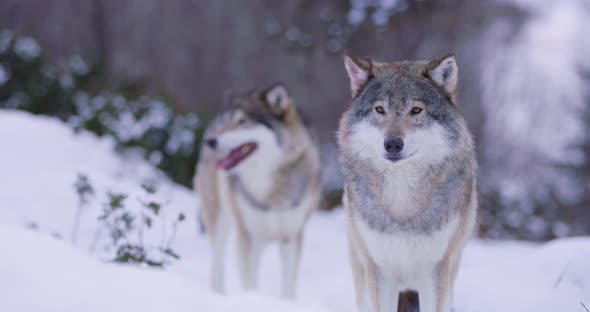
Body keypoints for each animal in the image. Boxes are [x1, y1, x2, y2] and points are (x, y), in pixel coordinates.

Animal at [194, 83, 324, 300]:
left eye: (242, 121)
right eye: (229, 121)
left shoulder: (291, 236)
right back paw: (218, 294)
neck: (271, 188)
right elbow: (249, 281)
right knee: (218, 263)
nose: (209, 141)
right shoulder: (247, 235)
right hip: (221, 221)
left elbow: (288, 286)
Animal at [338, 52, 480, 310]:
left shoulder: (436, 270)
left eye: (416, 110)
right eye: (380, 109)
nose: (393, 143)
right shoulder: (379, 270)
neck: (401, 199)